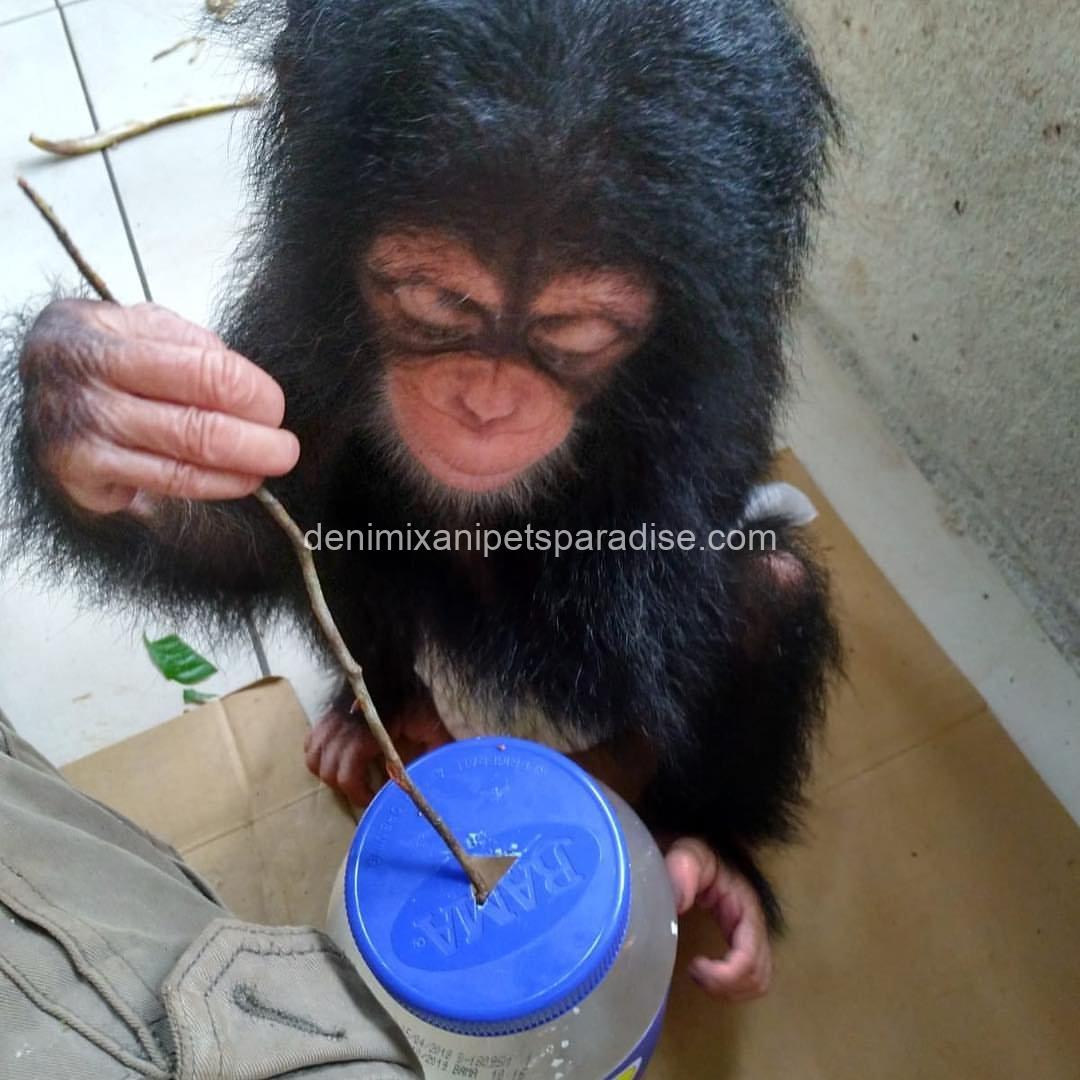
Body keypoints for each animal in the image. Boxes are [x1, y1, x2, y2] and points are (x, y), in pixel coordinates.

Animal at [2, 0, 841, 1001]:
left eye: (575, 331)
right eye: (434, 302)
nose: (485, 402)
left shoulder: (714, 378)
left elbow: (655, 601)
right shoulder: (302, 312)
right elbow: (275, 518)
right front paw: (105, 402)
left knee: (765, 591)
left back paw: (707, 857)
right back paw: (377, 717)